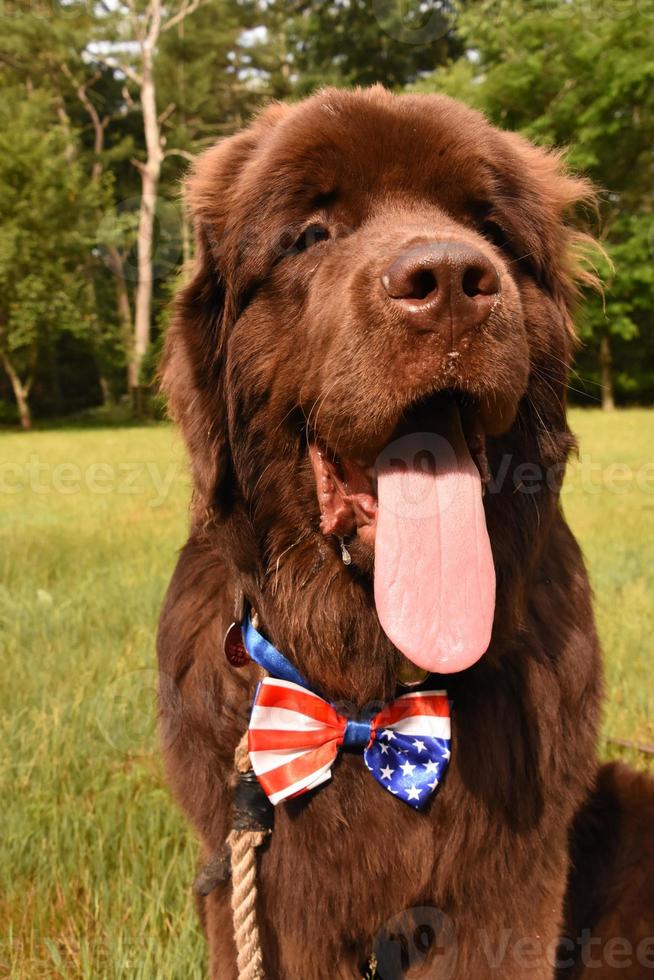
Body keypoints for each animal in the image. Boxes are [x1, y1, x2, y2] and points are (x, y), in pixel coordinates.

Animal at [158, 88, 654, 976]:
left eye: (487, 225)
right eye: (311, 234)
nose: (452, 280)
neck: (372, 702)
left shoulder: (509, 891)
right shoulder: (262, 891)